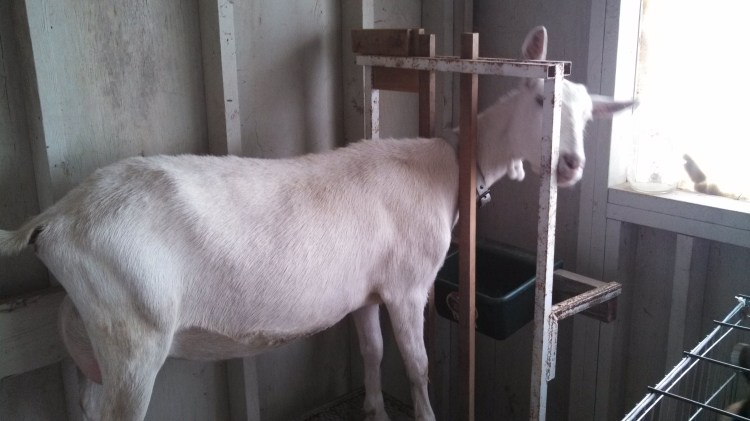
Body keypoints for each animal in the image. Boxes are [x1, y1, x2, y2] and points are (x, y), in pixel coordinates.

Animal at [0, 26, 634, 421]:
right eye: (541, 100)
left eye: (589, 118)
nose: (571, 165)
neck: (451, 163)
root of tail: (53, 218)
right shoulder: (408, 286)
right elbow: (419, 367)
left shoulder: (366, 292)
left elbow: (373, 353)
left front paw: (374, 409)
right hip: (134, 333)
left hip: (91, 332)